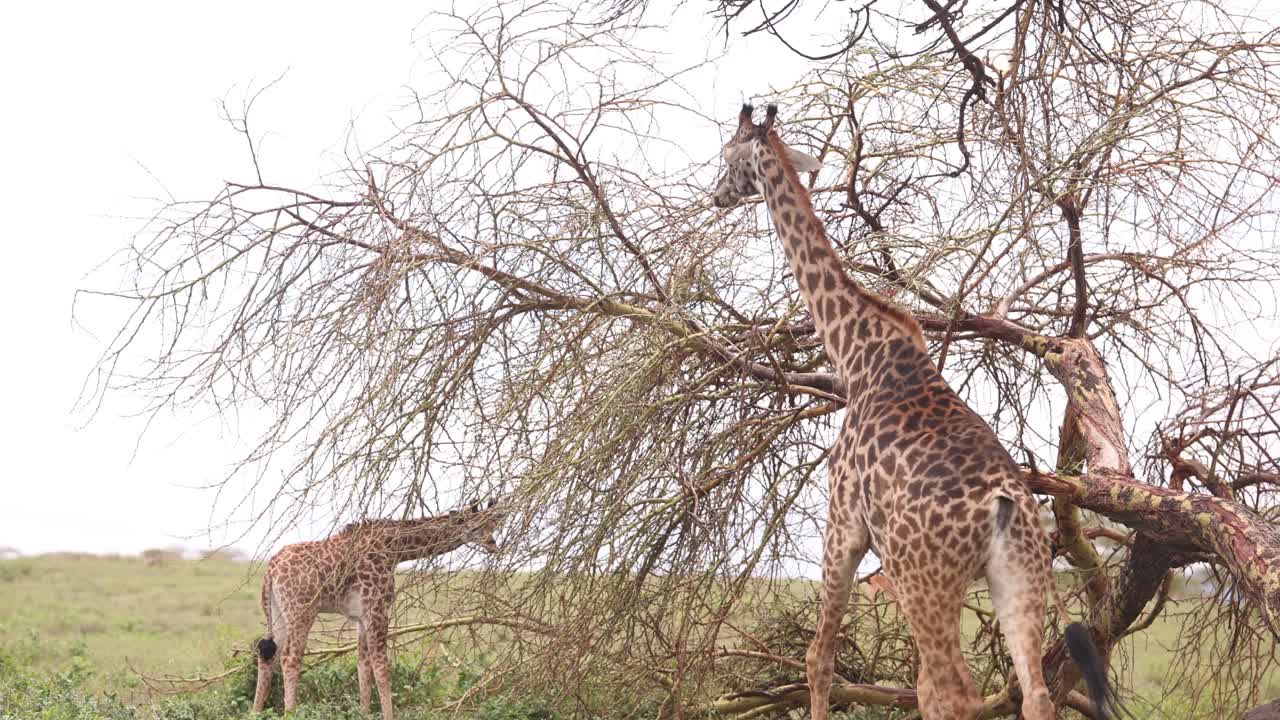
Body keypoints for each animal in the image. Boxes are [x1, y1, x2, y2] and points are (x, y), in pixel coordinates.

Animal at [253, 500, 507, 720]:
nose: (493, 545)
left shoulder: (361, 617)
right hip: (302, 609)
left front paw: (364, 713)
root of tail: (271, 569)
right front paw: (387, 715)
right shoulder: (377, 608)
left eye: (493, 525)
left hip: (275, 611)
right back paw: (291, 713)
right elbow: (382, 665)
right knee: (290, 657)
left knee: (267, 653)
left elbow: (363, 665)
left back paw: (255, 712)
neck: (394, 549)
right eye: (475, 526)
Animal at [711, 104, 1116, 720]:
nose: (715, 196)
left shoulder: (843, 524)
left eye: (729, 154)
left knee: (949, 690)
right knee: (1032, 694)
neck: (856, 352)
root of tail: (1003, 506)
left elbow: (818, 658)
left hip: (926, 581)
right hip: (1017, 577)